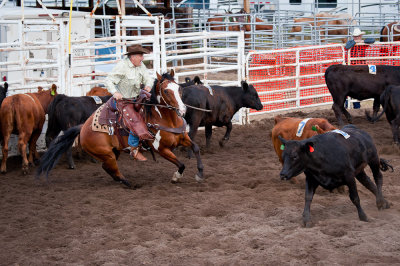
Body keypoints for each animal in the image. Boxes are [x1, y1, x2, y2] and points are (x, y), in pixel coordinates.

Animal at [36, 70, 205, 187]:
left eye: (179, 89)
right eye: (166, 91)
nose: (183, 109)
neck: (166, 119)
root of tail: (83, 127)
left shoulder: (183, 138)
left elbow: (196, 148)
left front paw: (200, 173)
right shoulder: (161, 149)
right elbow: (181, 164)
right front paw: (176, 177)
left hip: (113, 151)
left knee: (107, 168)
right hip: (106, 153)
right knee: (111, 168)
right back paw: (129, 183)